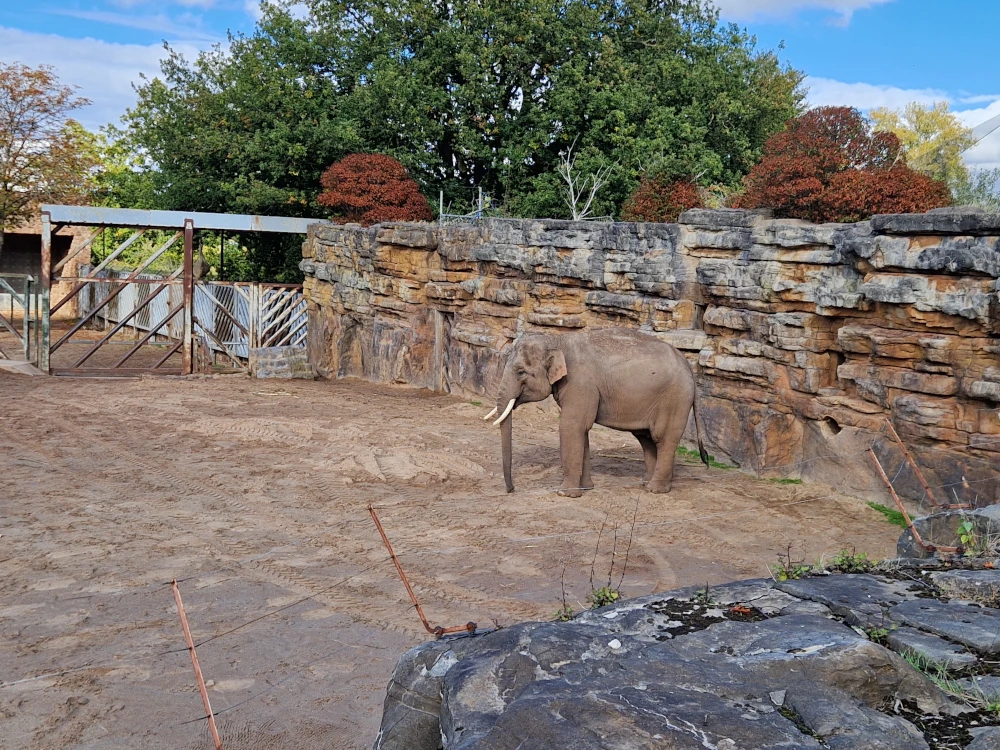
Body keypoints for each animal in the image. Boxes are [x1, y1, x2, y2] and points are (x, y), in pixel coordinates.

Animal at [483, 327, 708, 497]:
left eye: (521, 372)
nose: (512, 489)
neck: (557, 339)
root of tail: (689, 366)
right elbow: (581, 430)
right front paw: (585, 488)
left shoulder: (580, 383)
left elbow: (571, 426)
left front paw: (565, 493)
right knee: (646, 438)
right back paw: (645, 483)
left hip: (675, 399)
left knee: (664, 438)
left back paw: (655, 490)